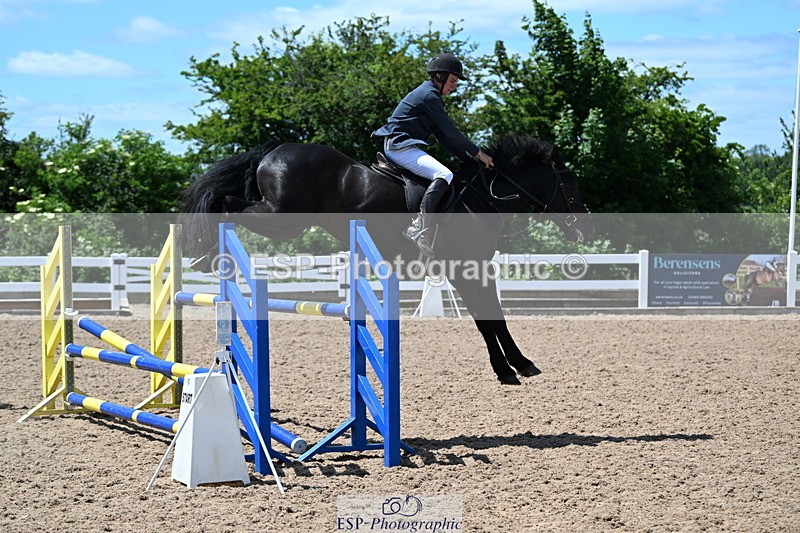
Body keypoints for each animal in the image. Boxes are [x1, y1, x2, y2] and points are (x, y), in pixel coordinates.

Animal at [179, 134, 594, 385]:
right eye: (570, 183)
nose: (585, 226)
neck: (483, 198)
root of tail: (274, 150)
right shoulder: (466, 268)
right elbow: (487, 318)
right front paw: (509, 369)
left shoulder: (470, 268)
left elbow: (493, 317)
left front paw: (517, 365)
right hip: (284, 218)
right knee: (226, 203)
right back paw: (206, 253)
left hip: (284, 220)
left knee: (230, 204)